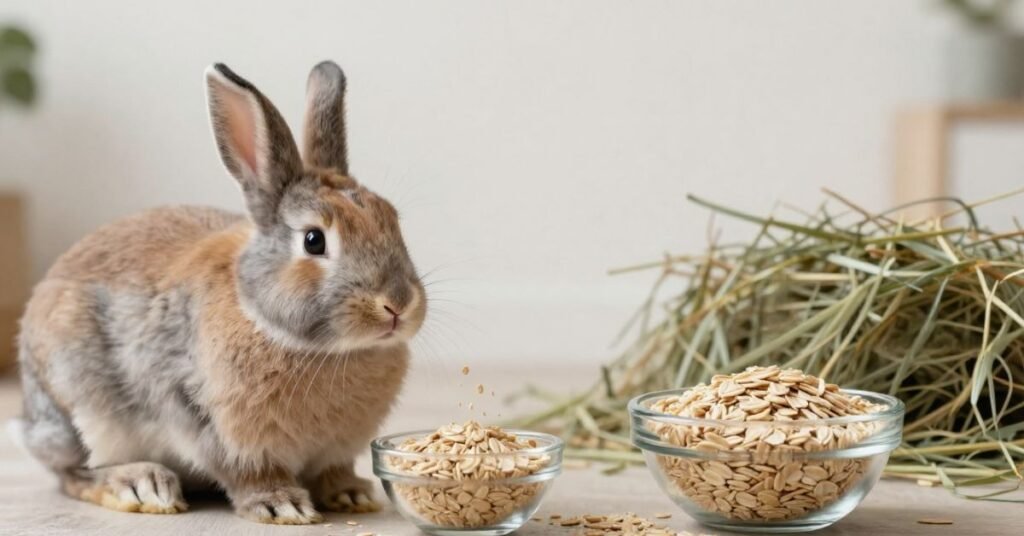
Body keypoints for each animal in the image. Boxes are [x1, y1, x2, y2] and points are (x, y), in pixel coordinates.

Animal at [10, 61, 427, 524]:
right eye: (314, 240)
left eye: (391, 218)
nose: (397, 304)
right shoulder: (209, 422)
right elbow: (246, 473)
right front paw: (282, 505)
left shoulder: (334, 450)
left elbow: (333, 471)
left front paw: (352, 494)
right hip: (77, 405)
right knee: (74, 472)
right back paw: (142, 485)